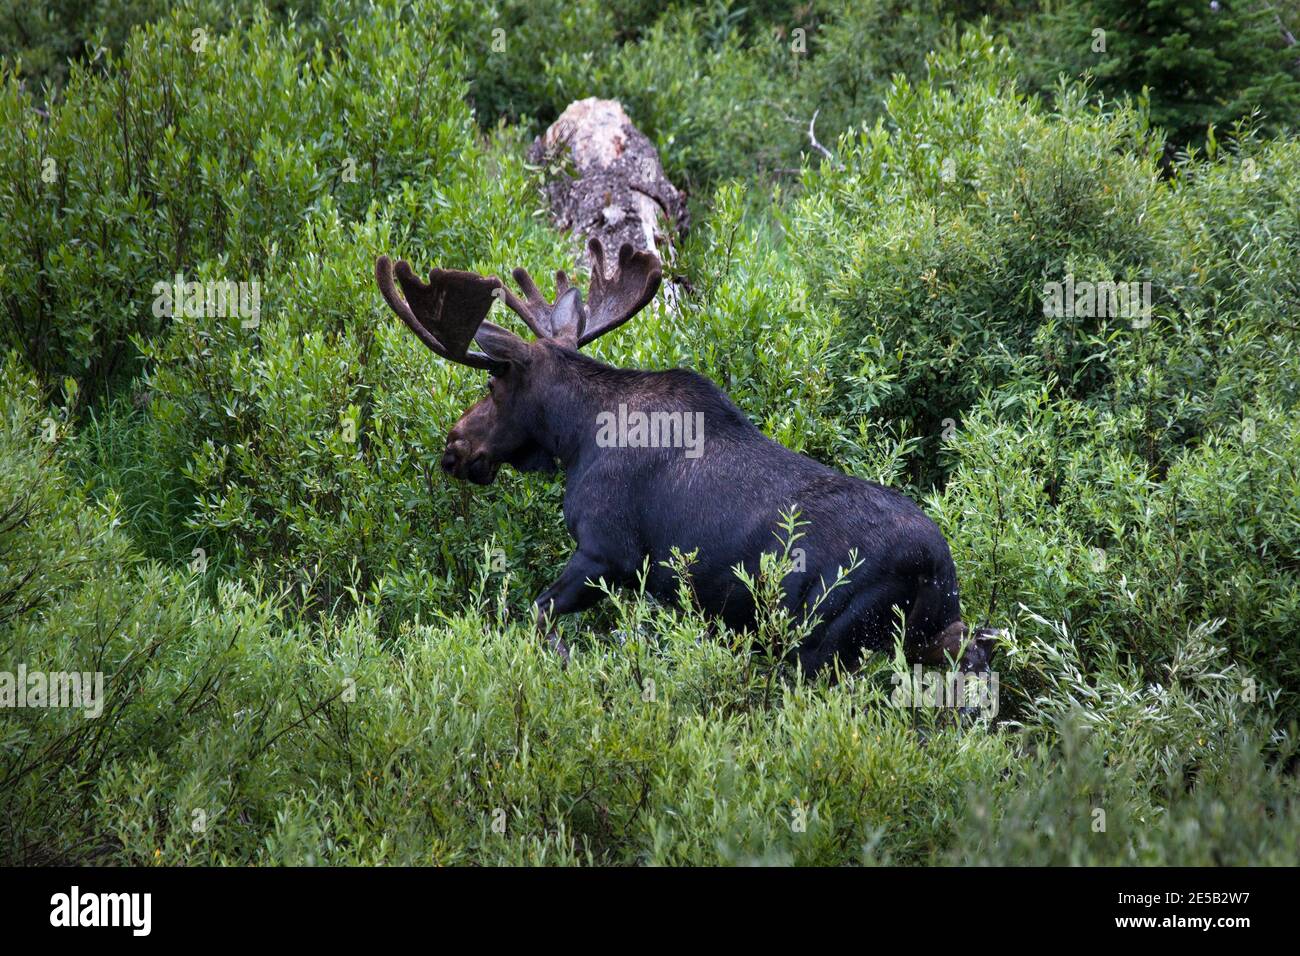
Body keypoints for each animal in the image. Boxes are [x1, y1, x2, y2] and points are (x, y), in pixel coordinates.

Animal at [375, 239, 996, 678]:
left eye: (493, 385)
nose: (455, 446)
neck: (575, 439)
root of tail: (938, 570)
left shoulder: (607, 552)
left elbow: (539, 613)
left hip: (824, 639)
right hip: (937, 637)